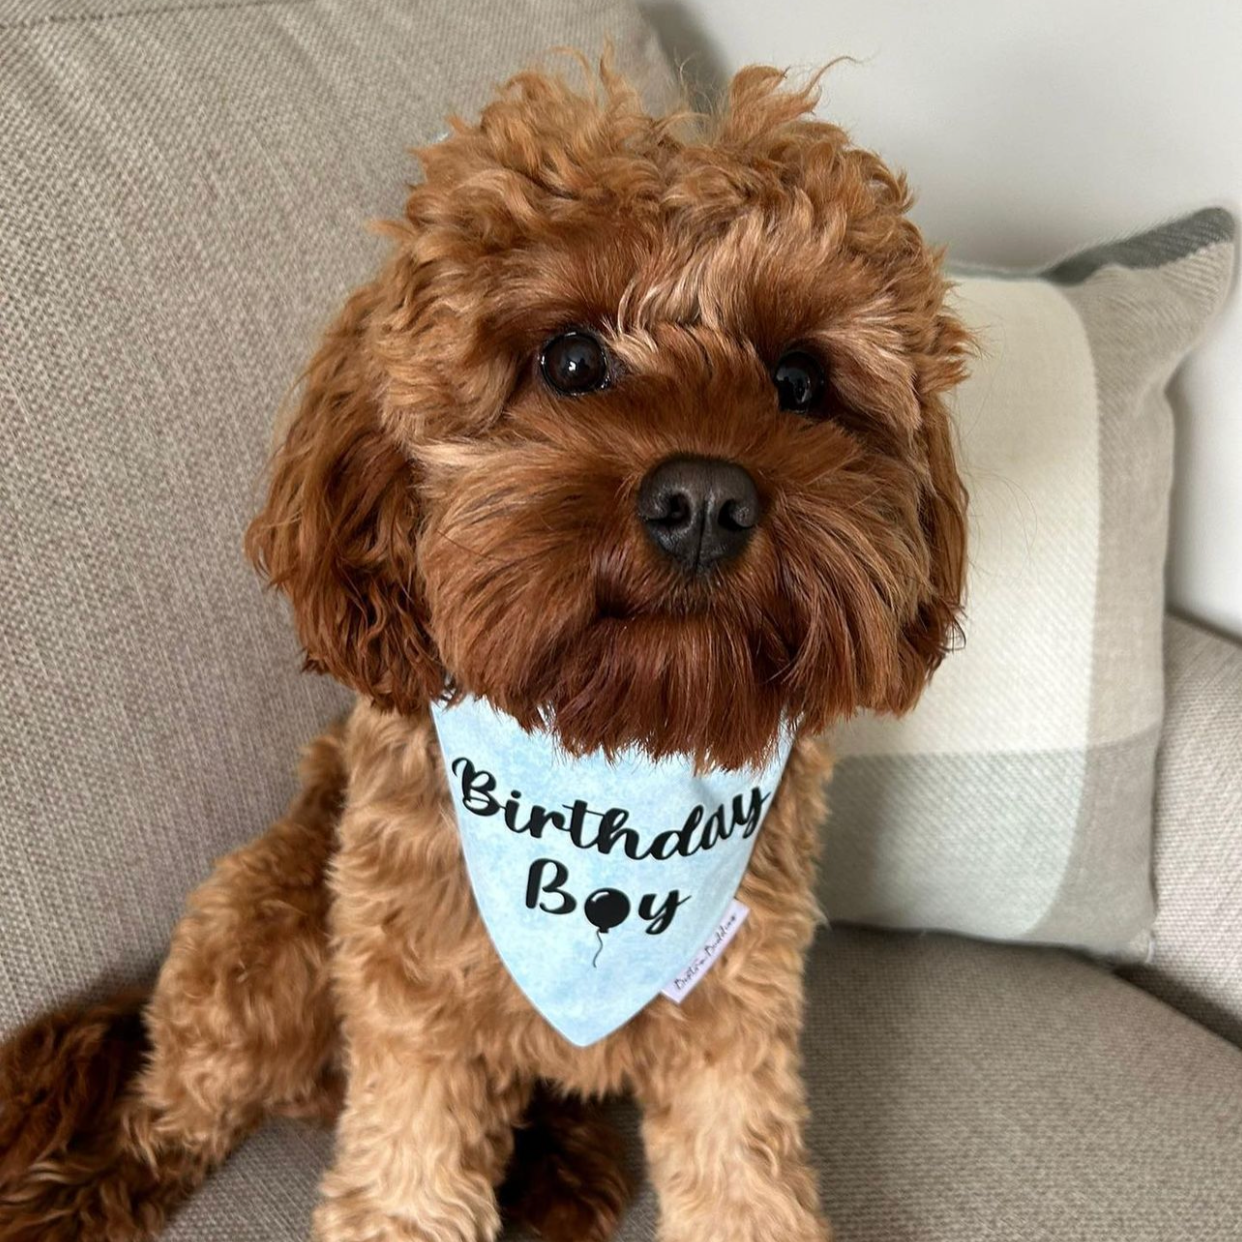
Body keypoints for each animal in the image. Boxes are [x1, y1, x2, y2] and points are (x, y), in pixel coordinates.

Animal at [0, 63, 968, 1242]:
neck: (611, 748)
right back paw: (84, 1193)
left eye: (797, 381)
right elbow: (404, 1186)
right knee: (173, 1109)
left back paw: (563, 1171)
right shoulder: (414, 1010)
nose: (705, 501)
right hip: (264, 930)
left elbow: (743, 1178)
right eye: (571, 359)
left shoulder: (735, 1011)